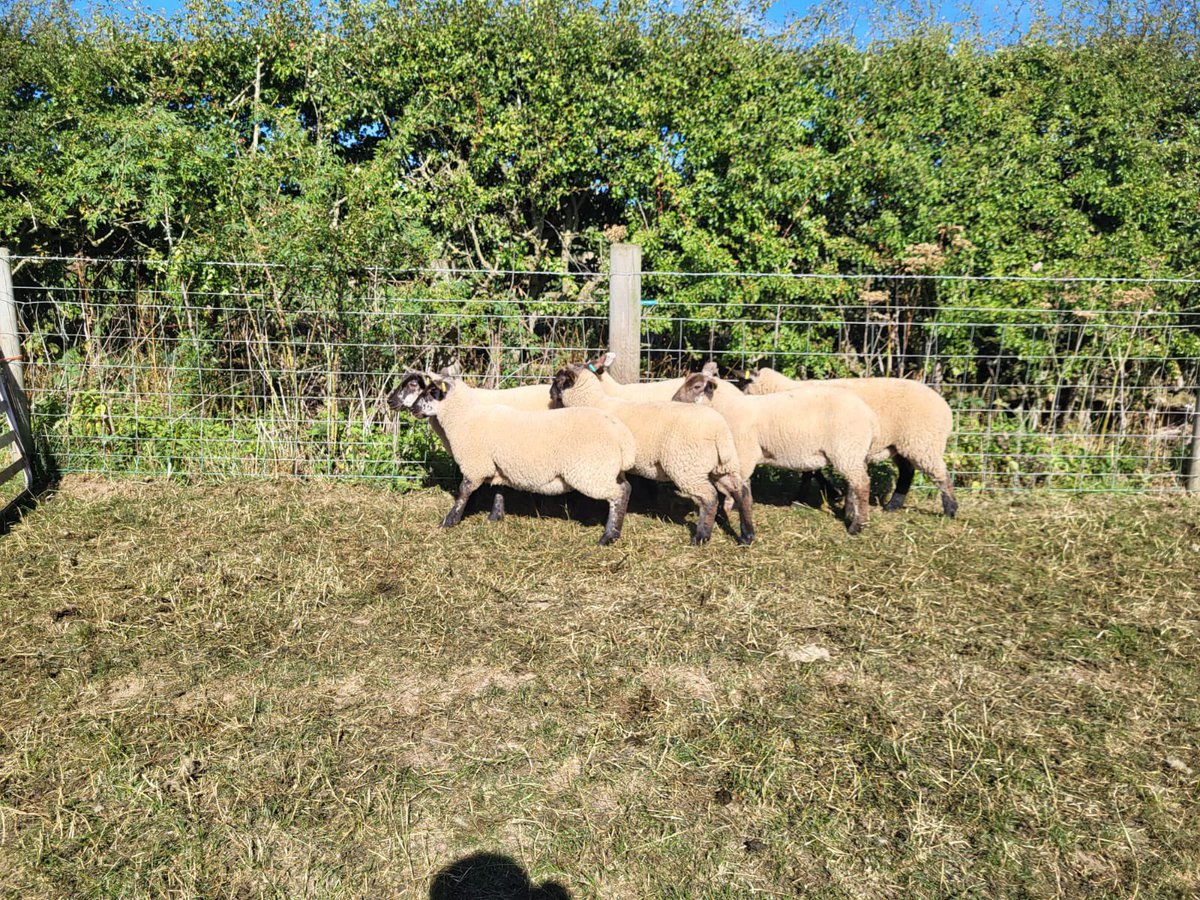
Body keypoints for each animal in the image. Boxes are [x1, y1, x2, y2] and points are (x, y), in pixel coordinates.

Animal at [410, 376, 637, 545]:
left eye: (432, 392)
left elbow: (463, 492)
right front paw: (495, 517)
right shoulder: (498, 465)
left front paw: (449, 520)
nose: (412, 409)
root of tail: (623, 437)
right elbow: (499, 490)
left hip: (590, 472)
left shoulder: (475, 465)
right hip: (607, 470)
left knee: (618, 494)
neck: (464, 416)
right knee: (626, 488)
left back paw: (608, 536)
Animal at [550, 357, 755, 545]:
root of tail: (719, 431)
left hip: (687, 467)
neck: (595, 401)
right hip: (722, 465)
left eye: (558, 380)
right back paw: (747, 536)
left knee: (710, 497)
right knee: (741, 491)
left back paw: (701, 537)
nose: (550, 393)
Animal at [671, 366, 879, 534]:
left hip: (847, 450)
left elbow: (737, 487)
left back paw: (857, 526)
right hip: (853, 452)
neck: (729, 407)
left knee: (862, 484)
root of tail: (869, 415)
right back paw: (850, 512)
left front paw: (730, 510)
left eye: (697, 386)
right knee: (856, 482)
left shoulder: (744, 452)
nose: (674, 400)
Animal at [738, 367, 957, 517]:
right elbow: (812, 471)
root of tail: (946, 408)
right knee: (907, 472)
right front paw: (829, 493)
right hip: (902, 444)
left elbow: (811, 472)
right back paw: (892, 506)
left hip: (923, 441)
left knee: (939, 473)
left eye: (744, 385)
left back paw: (950, 509)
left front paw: (825, 494)